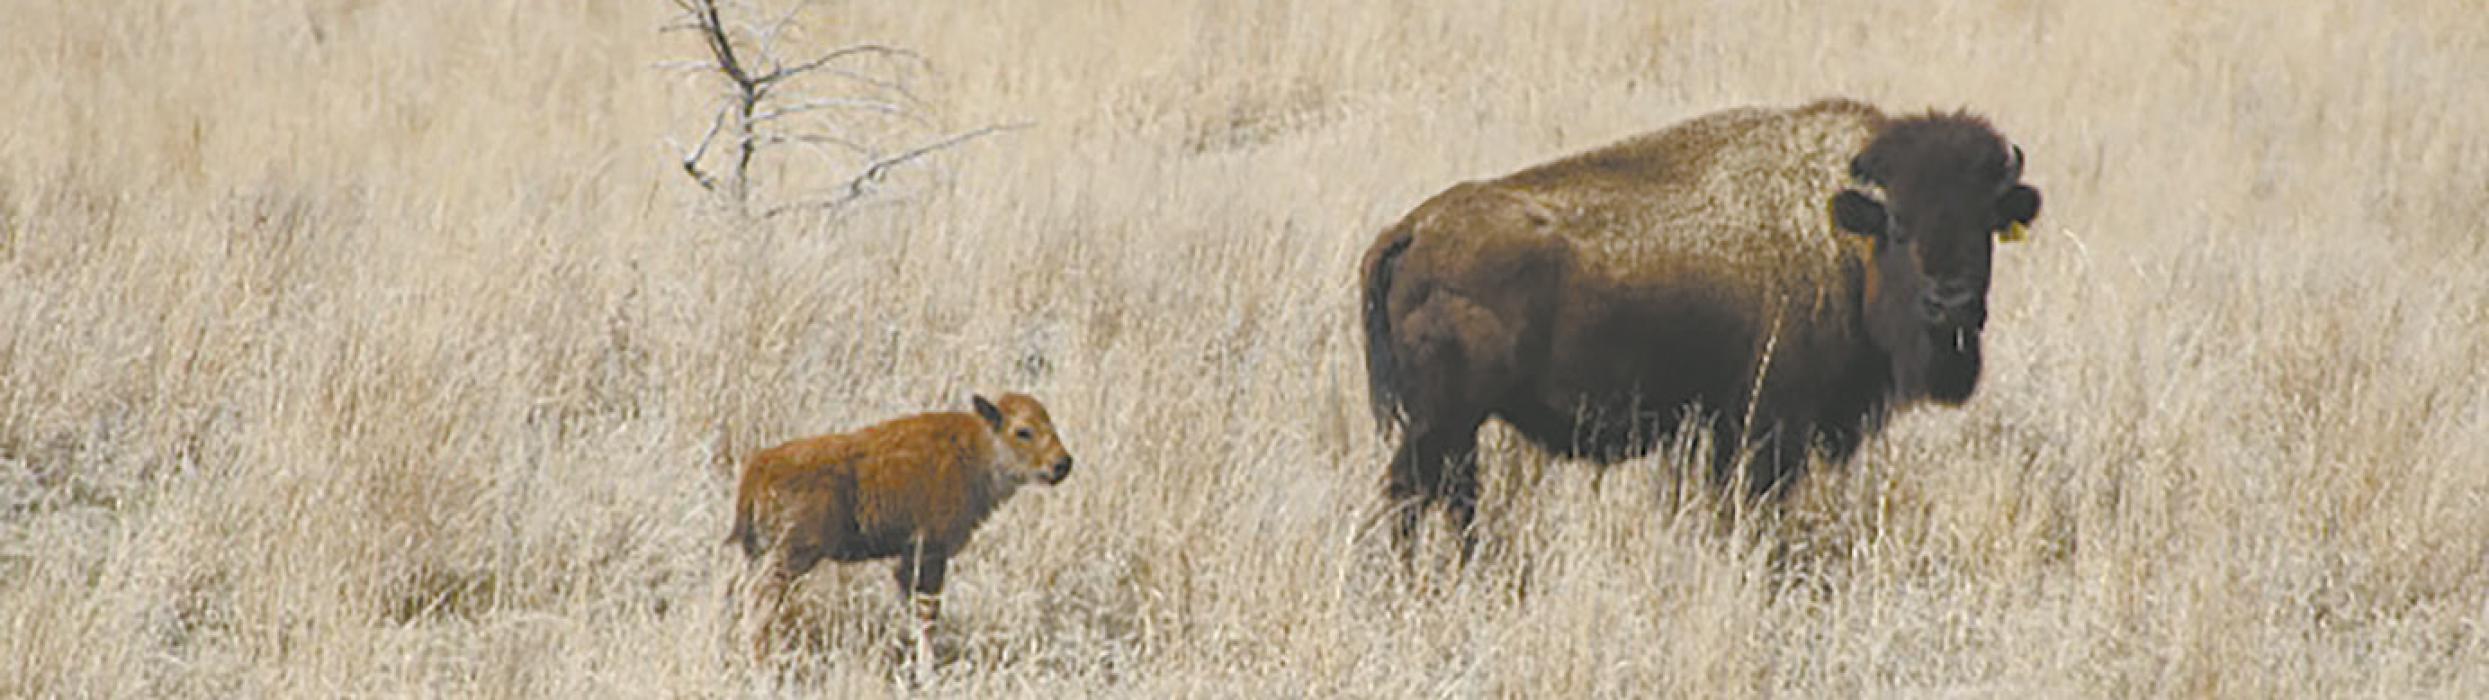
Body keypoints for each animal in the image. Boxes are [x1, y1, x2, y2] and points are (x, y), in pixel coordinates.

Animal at [727, 393, 1075, 670]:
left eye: (1050, 423)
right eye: (1023, 431)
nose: (1062, 464)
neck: (976, 449)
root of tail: (760, 465)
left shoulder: (909, 559)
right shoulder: (930, 551)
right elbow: (927, 614)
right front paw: (928, 670)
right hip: (790, 556)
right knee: (758, 602)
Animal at [1358, 99, 2041, 558]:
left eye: (1985, 225)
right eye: (1899, 225)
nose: (1951, 304)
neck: (1841, 236)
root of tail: (1413, 229)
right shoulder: (1768, 429)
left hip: (1459, 425)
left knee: (1453, 496)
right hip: (1442, 420)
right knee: (1412, 493)